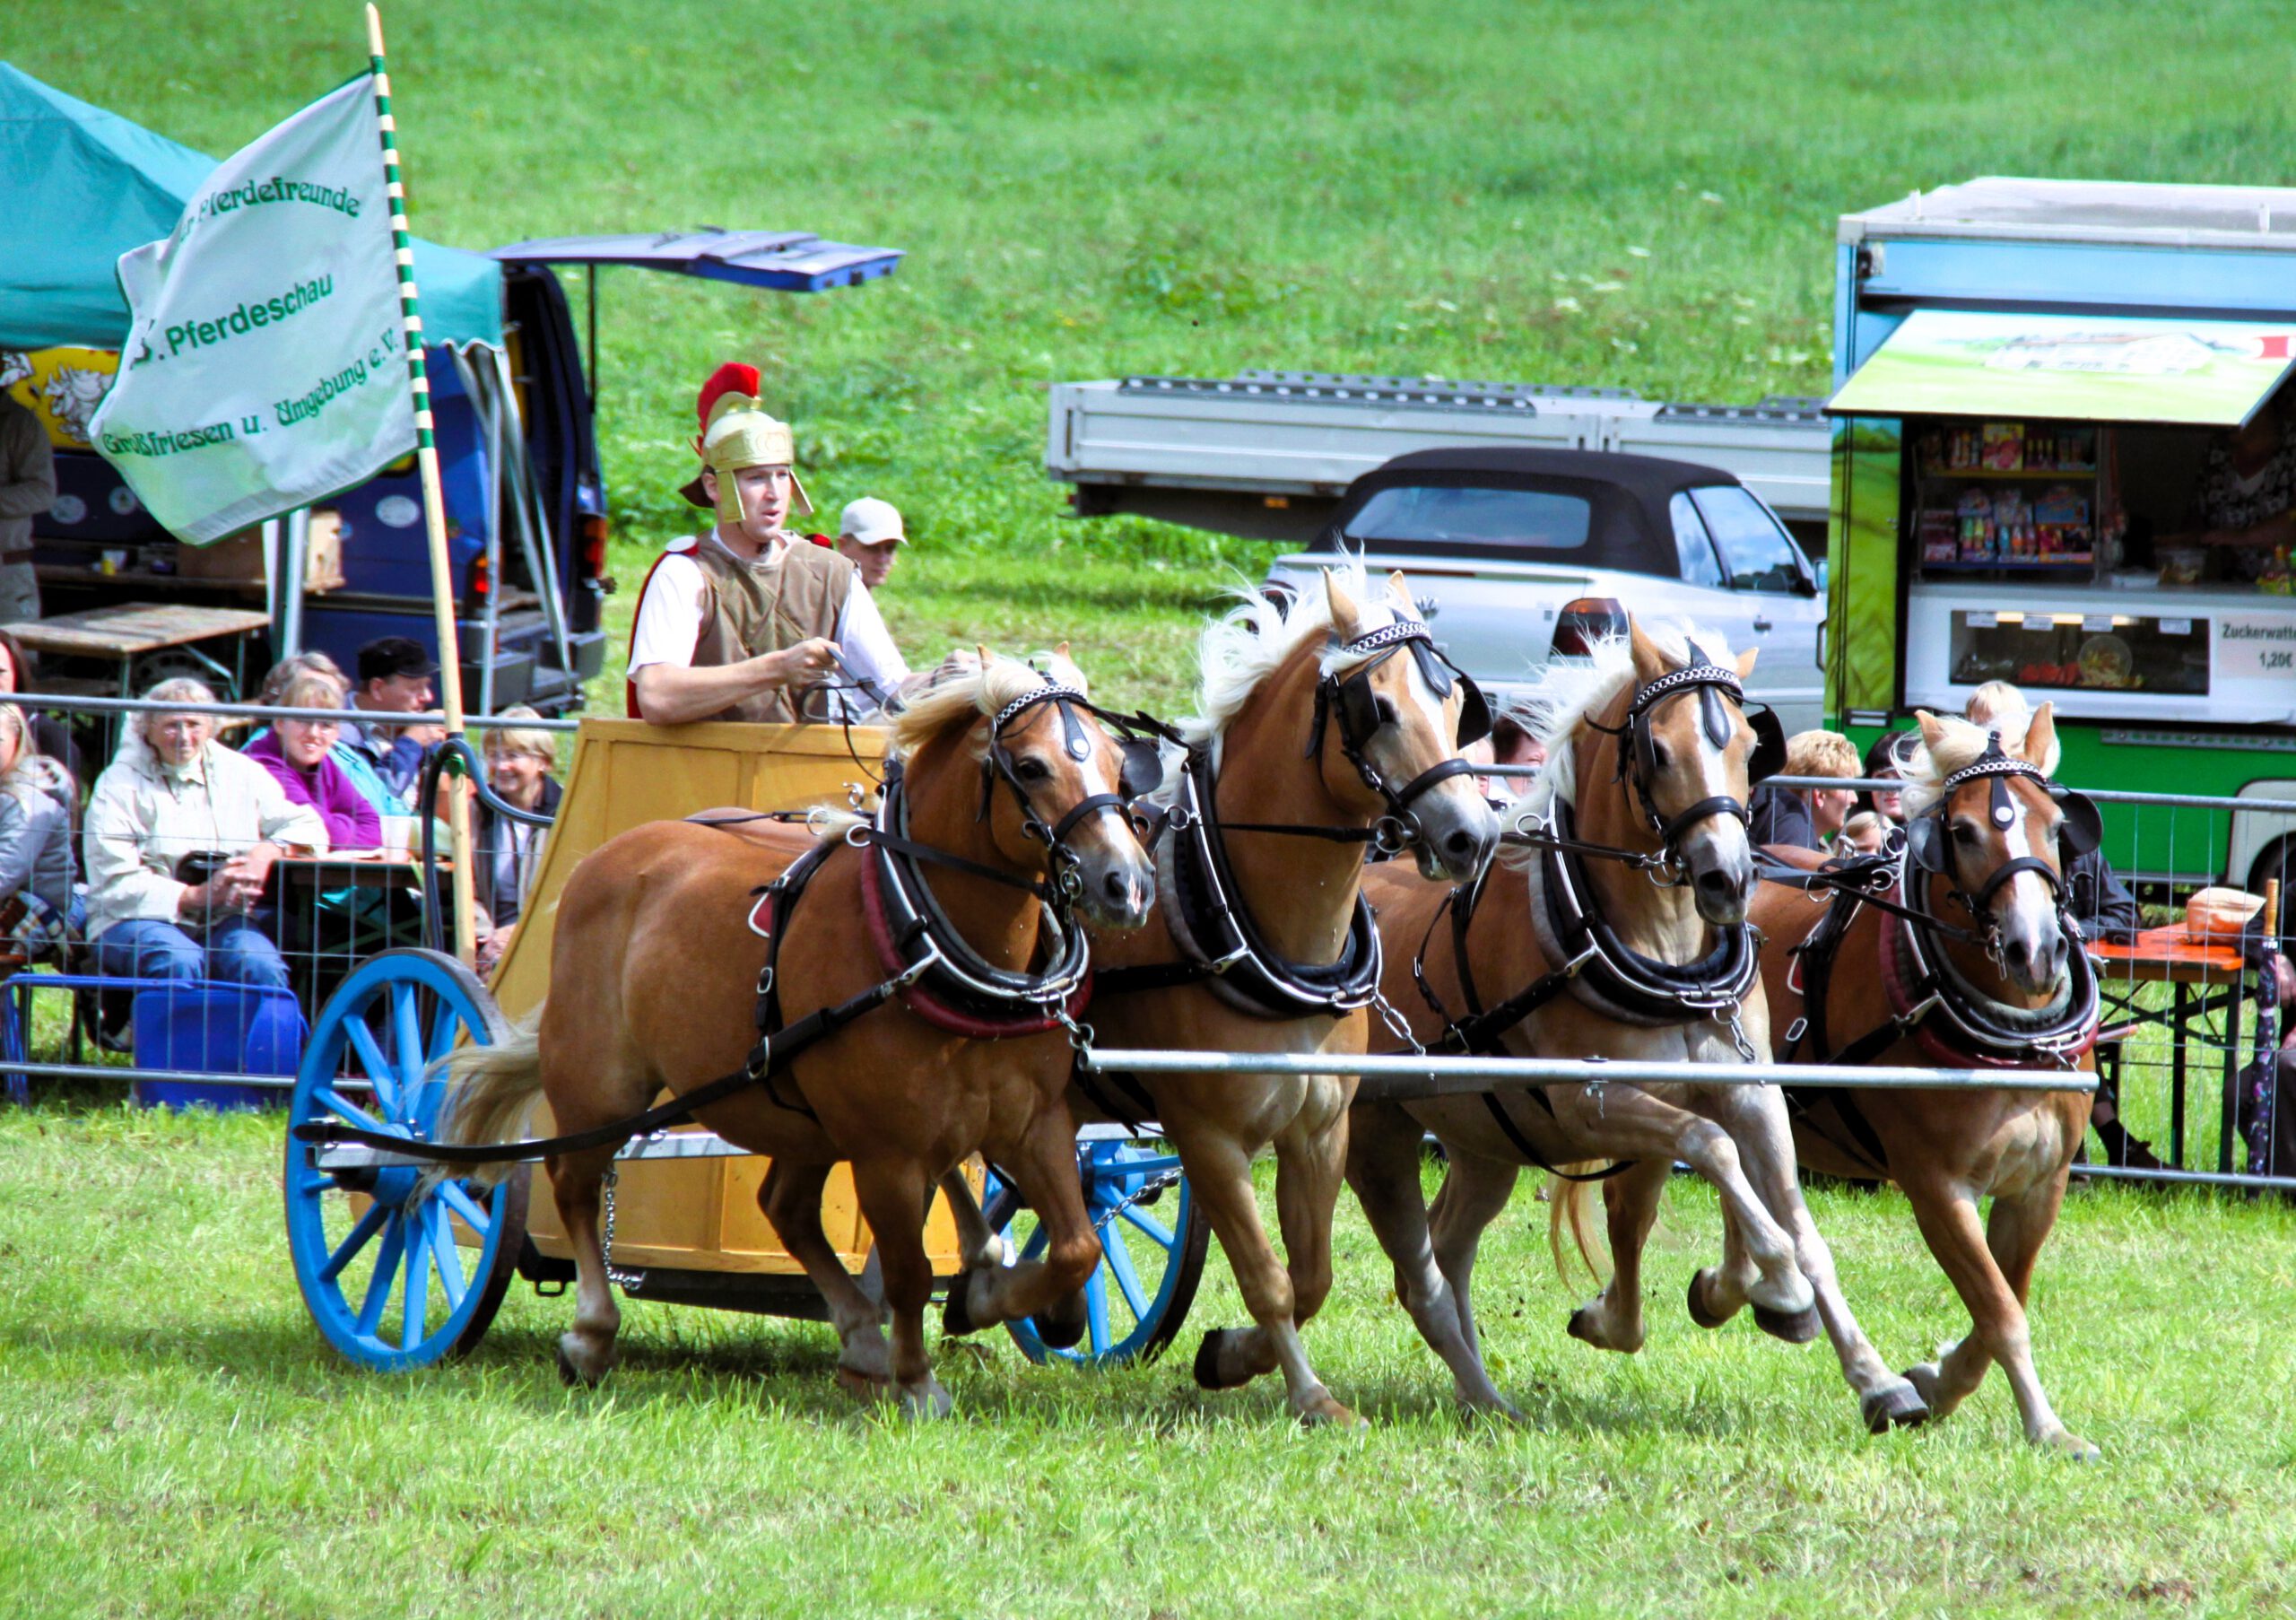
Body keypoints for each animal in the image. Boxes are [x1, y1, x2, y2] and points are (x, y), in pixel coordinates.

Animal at [436, 652, 1157, 1406]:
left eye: (1119, 763)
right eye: (1033, 766)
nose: (1128, 885)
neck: (922, 938)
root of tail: (601, 859)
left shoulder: (1032, 1124)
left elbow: (1077, 1247)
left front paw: (992, 1300)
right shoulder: (886, 1153)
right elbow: (908, 1272)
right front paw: (916, 1380)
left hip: (800, 1115)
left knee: (785, 1207)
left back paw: (865, 1334)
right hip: (599, 1083)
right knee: (574, 1180)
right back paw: (591, 1333)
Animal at [1341, 620, 1919, 1424]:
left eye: (1750, 745)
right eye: (1660, 751)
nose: (1728, 880)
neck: (1663, 953)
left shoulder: (1749, 1093)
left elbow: (1784, 1224)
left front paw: (1873, 1375)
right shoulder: (1594, 1103)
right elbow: (1708, 1151)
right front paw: (1773, 1289)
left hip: (1485, 1144)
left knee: (1447, 1250)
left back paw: (1480, 1395)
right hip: (1373, 1134)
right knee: (1404, 1265)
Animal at [1744, 702, 2102, 1451]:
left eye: (2057, 824)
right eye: (1960, 832)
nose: (2036, 950)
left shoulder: (2041, 1184)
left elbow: (2006, 1299)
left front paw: (1938, 1382)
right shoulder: (1936, 1187)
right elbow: (2000, 1311)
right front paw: (2046, 1427)